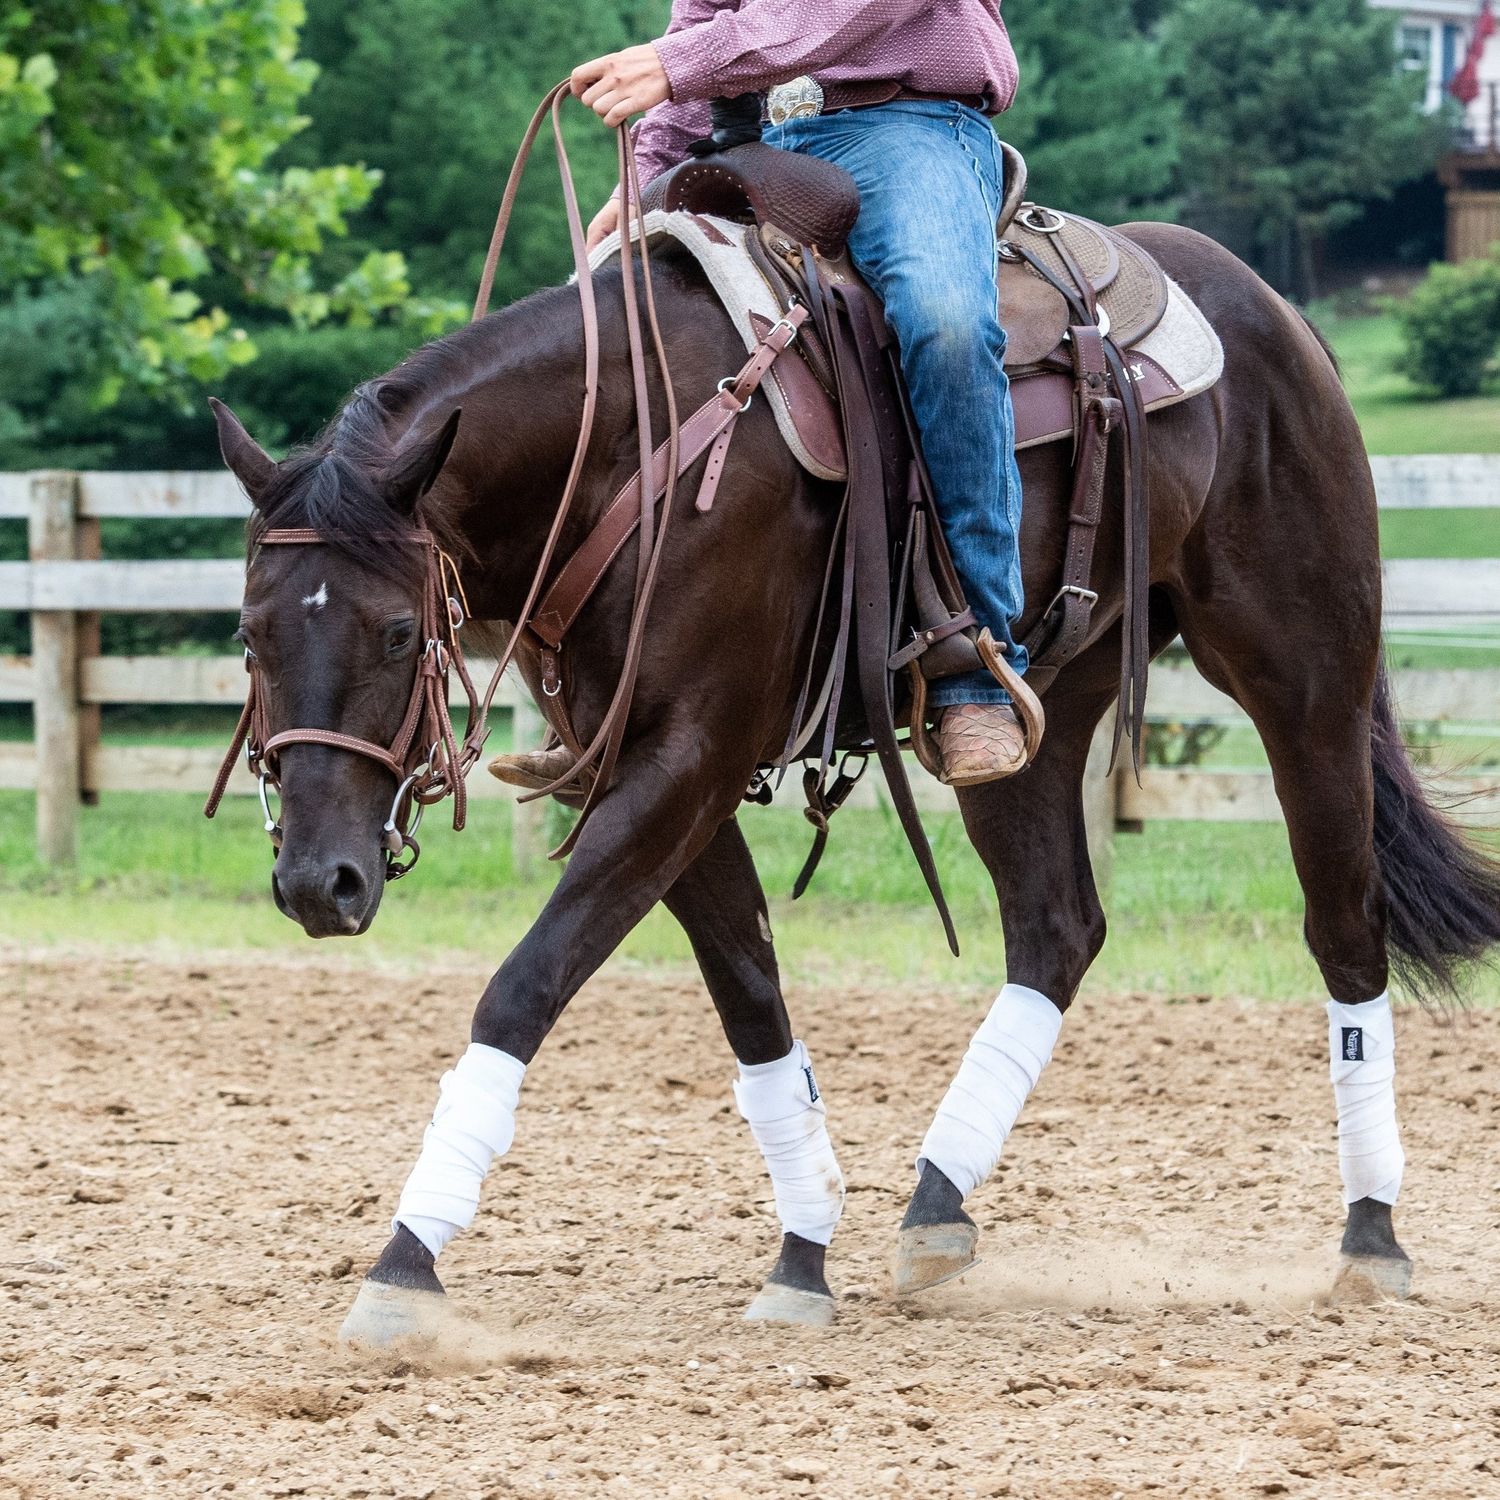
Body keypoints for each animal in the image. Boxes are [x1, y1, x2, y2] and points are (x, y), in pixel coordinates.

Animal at [207, 121, 1500, 1341]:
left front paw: (403, 1266)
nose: (319, 883)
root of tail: (1274, 313)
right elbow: (752, 998)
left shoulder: (689, 760)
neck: (634, 446)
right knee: (1056, 929)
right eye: (251, 635)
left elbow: (524, 987)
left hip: (1307, 683)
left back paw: (1373, 1238)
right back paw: (936, 1208)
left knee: (1344, 923)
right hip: (1028, 720)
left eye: (393, 633)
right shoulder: (647, 772)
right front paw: (802, 1254)